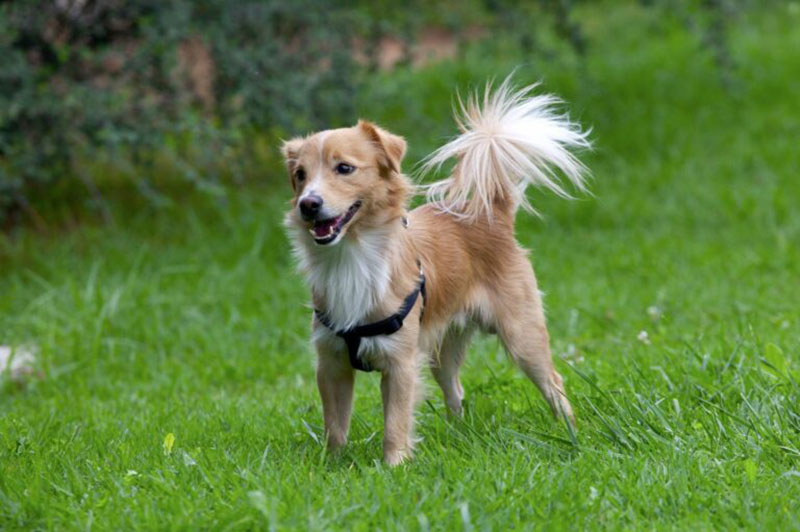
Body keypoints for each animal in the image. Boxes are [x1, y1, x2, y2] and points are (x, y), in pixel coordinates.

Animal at [282, 77, 588, 464]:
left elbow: (395, 423)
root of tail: (490, 214)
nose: (308, 204)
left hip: (522, 336)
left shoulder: (400, 364)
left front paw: (394, 466)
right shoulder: (331, 362)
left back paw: (569, 431)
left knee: (553, 382)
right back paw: (459, 433)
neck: (353, 256)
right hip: (443, 349)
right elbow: (335, 425)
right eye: (300, 176)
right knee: (454, 388)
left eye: (345, 169)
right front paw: (332, 464)